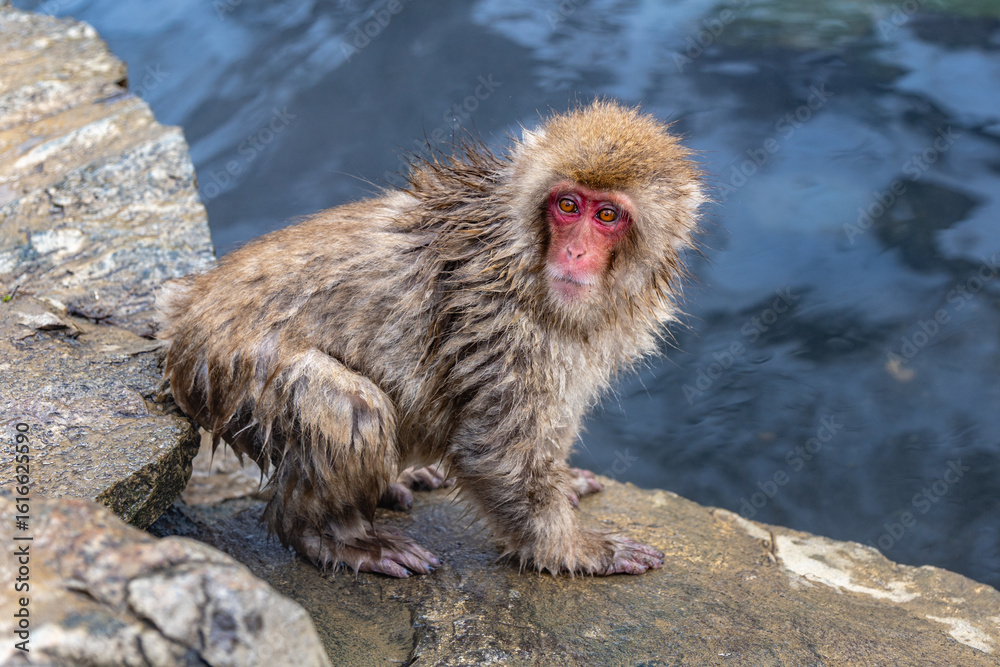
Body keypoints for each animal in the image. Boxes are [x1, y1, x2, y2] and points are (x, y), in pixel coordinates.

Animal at [157, 100, 705, 577]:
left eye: (606, 215)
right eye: (568, 205)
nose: (574, 253)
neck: (518, 255)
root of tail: (182, 315)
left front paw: (564, 477)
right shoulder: (502, 326)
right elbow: (493, 451)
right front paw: (575, 548)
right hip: (230, 368)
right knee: (353, 410)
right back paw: (330, 537)